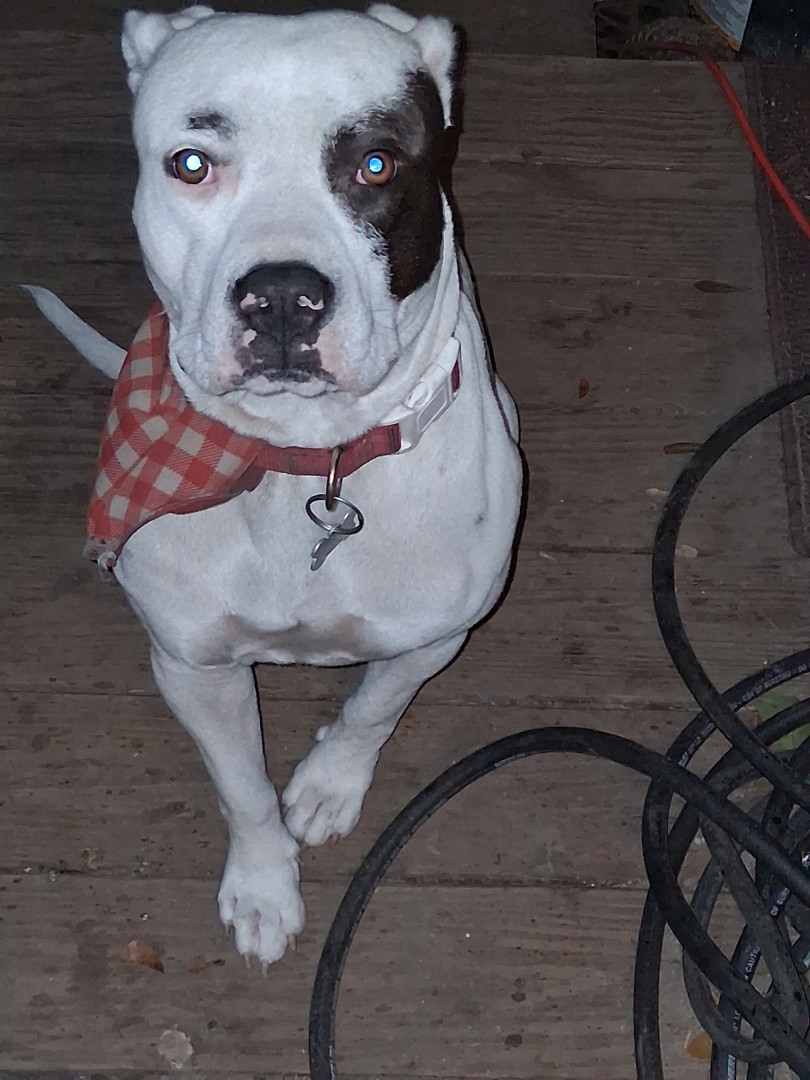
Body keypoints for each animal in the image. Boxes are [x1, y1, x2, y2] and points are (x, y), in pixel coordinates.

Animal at [27, 3, 523, 967]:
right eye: (191, 163)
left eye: (376, 164)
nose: (285, 296)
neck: (306, 463)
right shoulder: (194, 666)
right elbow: (243, 788)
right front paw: (263, 886)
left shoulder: (437, 634)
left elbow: (374, 707)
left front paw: (330, 781)